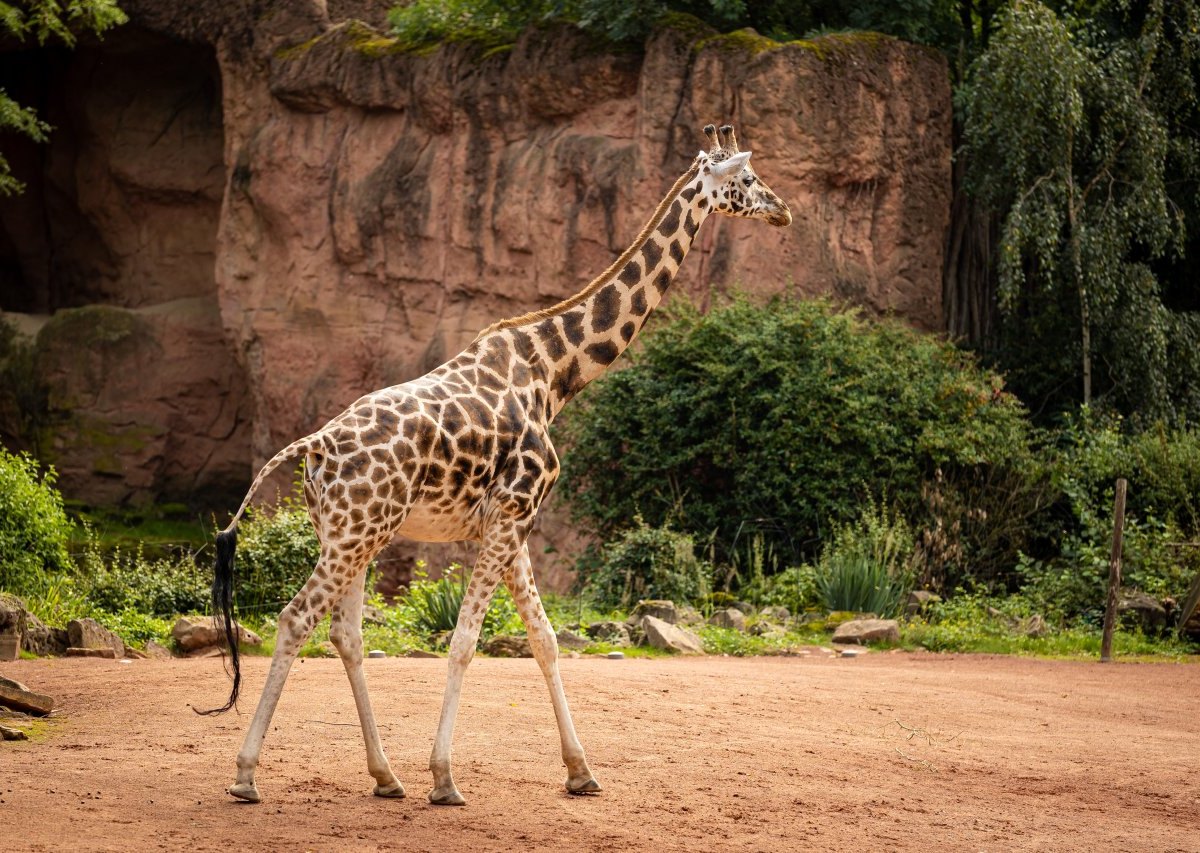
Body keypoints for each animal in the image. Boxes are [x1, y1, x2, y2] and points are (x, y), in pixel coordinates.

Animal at [201, 121, 792, 806]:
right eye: (746, 178)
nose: (783, 210)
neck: (556, 373)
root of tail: (313, 448)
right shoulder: (513, 513)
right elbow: (464, 640)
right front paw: (444, 778)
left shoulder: (512, 522)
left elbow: (544, 639)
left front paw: (580, 771)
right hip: (358, 533)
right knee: (296, 618)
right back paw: (246, 776)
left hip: (349, 532)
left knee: (345, 634)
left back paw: (385, 776)